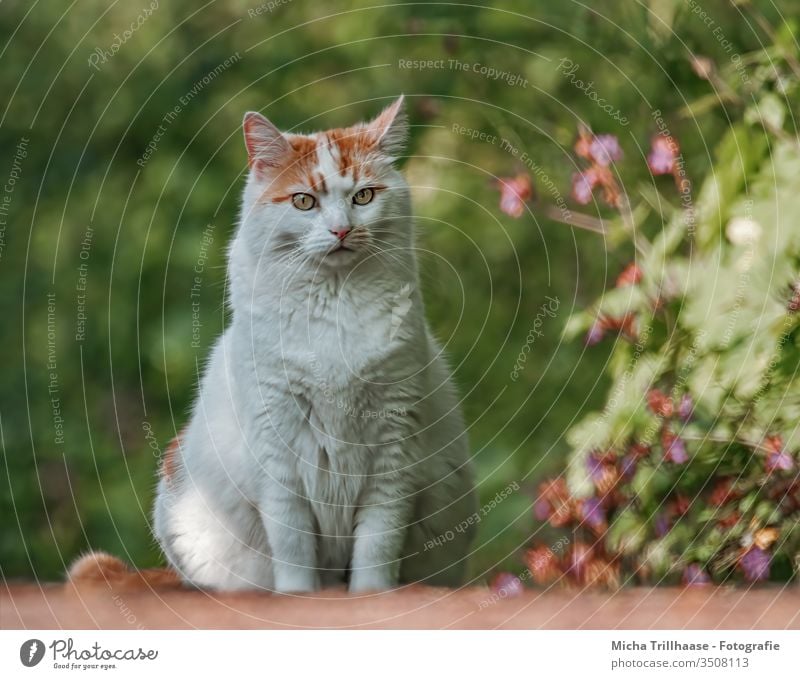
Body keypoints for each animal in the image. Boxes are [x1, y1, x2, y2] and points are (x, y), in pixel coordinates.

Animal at [70, 97, 476, 596]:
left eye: (363, 197)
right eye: (304, 201)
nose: (341, 231)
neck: (334, 304)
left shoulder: (394, 445)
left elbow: (377, 547)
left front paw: (370, 596)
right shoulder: (278, 446)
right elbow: (293, 544)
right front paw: (297, 596)